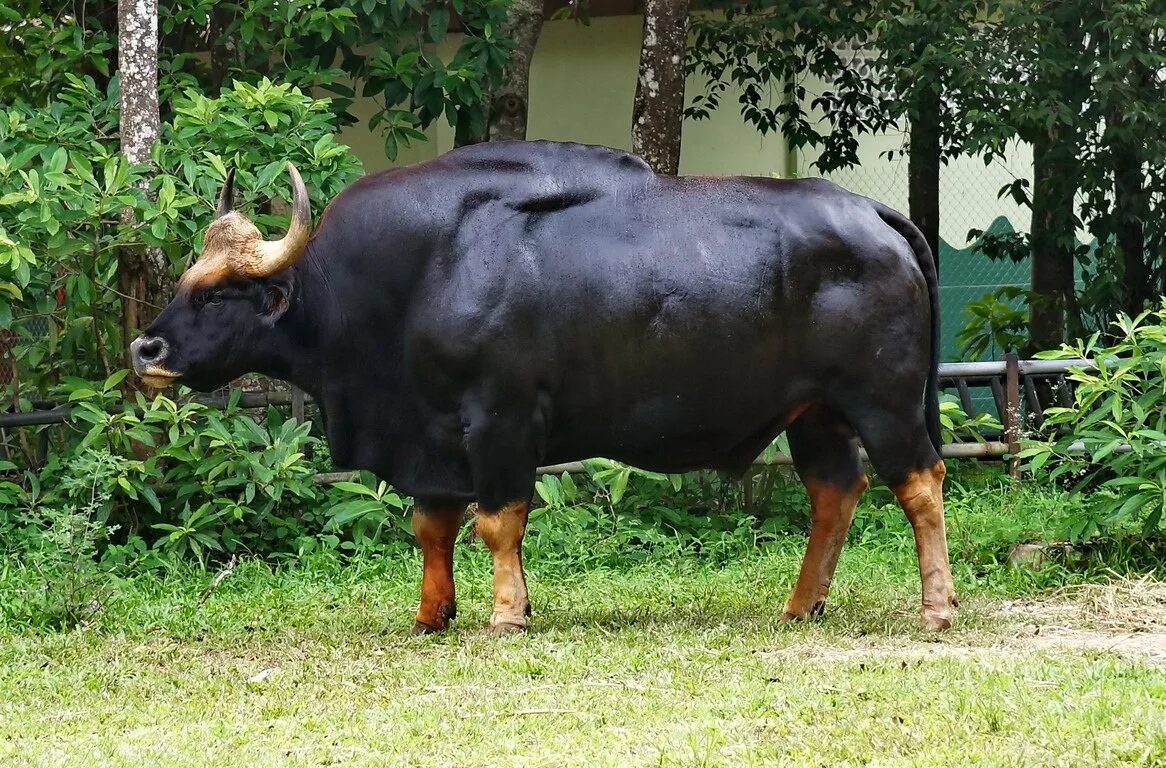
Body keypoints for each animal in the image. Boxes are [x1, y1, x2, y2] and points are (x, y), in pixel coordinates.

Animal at [132, 141, 960, 633]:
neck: (408, 279)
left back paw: (937, 606)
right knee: (836, 491)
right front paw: (433, 613)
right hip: (814, 412)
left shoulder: (499, 420)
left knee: (919, 484)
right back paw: (800, 604)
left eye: (218, 294)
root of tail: (874, 213)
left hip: (882, 401)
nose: (146, 348)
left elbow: (498, 520)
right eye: (185, 281)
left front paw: (507, 613)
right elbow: (431, 525)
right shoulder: (432, 435)